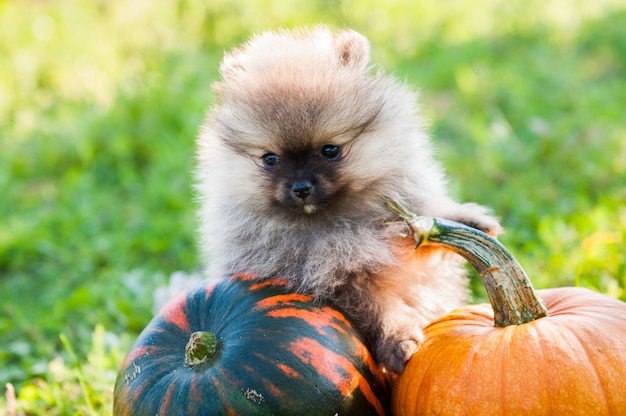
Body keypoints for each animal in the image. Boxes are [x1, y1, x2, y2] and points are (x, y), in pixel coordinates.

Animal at [197, 26, 500, 374]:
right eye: (270, 159)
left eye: (330, 150)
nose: (301, 187)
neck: (336, 222)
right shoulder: (344, 281)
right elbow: (379, 306)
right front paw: (398, 340)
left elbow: (430, 225)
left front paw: (470, 220)